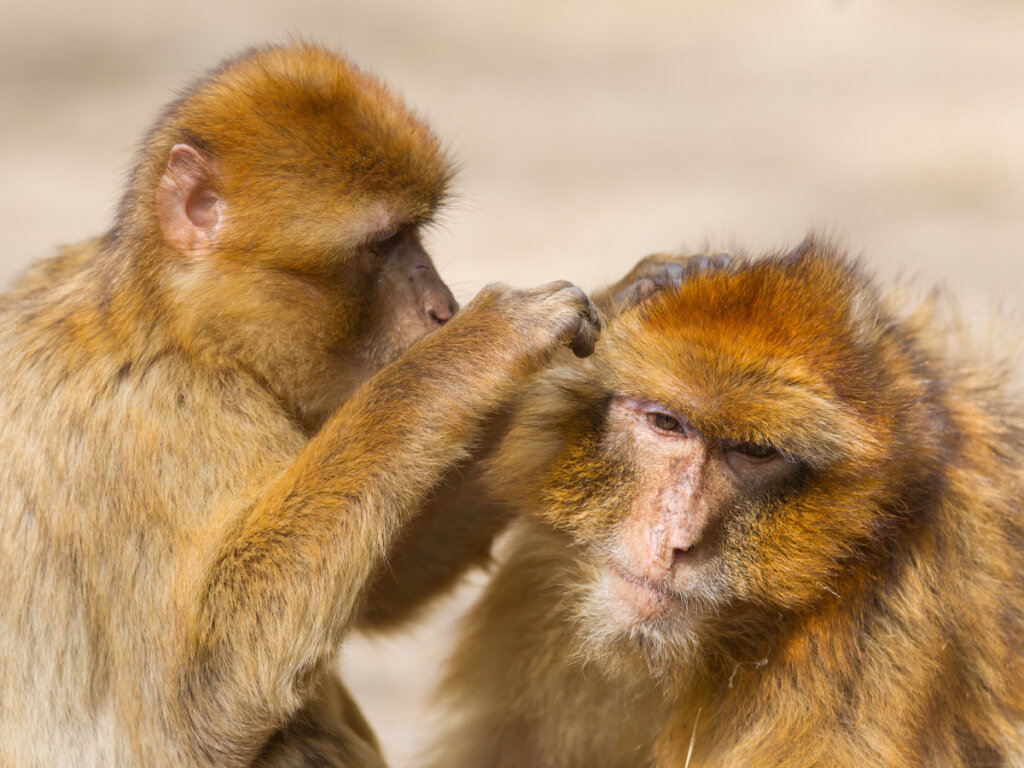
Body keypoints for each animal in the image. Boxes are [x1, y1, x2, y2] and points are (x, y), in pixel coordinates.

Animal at [0, 43, 598, 768]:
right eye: (385, 242)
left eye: (417, 232)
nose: (443, 308)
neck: (179, 327)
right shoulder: (156, 421)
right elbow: (201, 702)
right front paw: (473, 349)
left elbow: (384, 579)